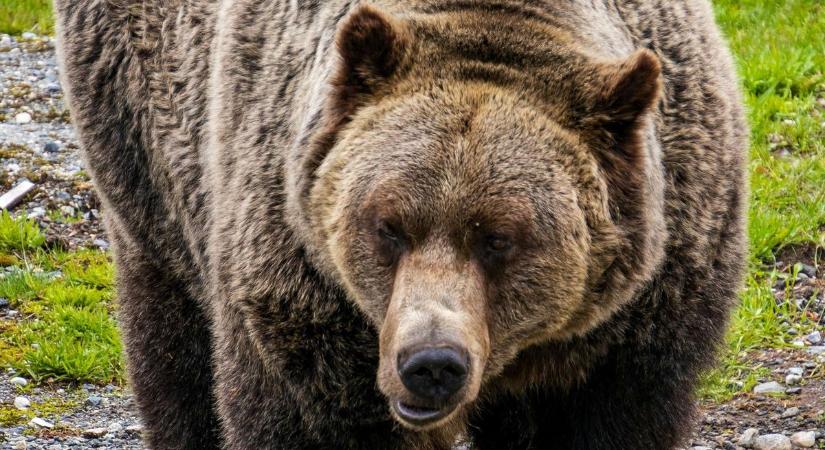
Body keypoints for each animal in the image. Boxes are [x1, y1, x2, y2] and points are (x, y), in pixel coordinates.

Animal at [53, 0, 748, 448]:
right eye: (388, 225)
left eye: (500, 239)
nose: (431, 362)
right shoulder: (307, 291)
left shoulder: (636, 321)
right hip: (143, 133)